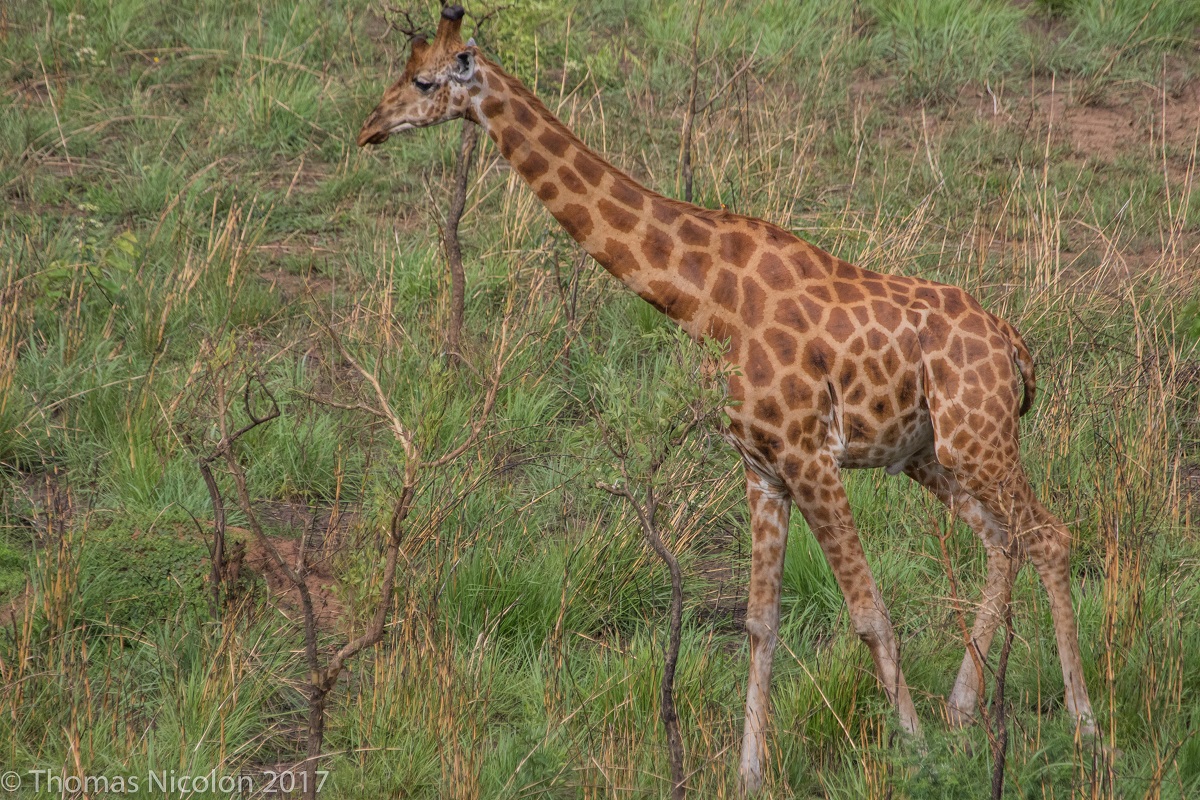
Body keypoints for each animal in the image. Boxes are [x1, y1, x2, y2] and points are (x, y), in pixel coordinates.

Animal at [355, 7, 1099, 796]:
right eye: (404, 71)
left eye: (424, 80)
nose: (369, 128)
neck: (711, 302)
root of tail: (1014, 346)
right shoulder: (762, 468)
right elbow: (759, 623)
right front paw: (749, 774)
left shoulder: (809, 457)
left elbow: (869, 613)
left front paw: (917, 754)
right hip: (930, 454)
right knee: (1003, 538)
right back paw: (964, 707)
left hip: (976, 439)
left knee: (1049, 536)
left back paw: (1082, 727)